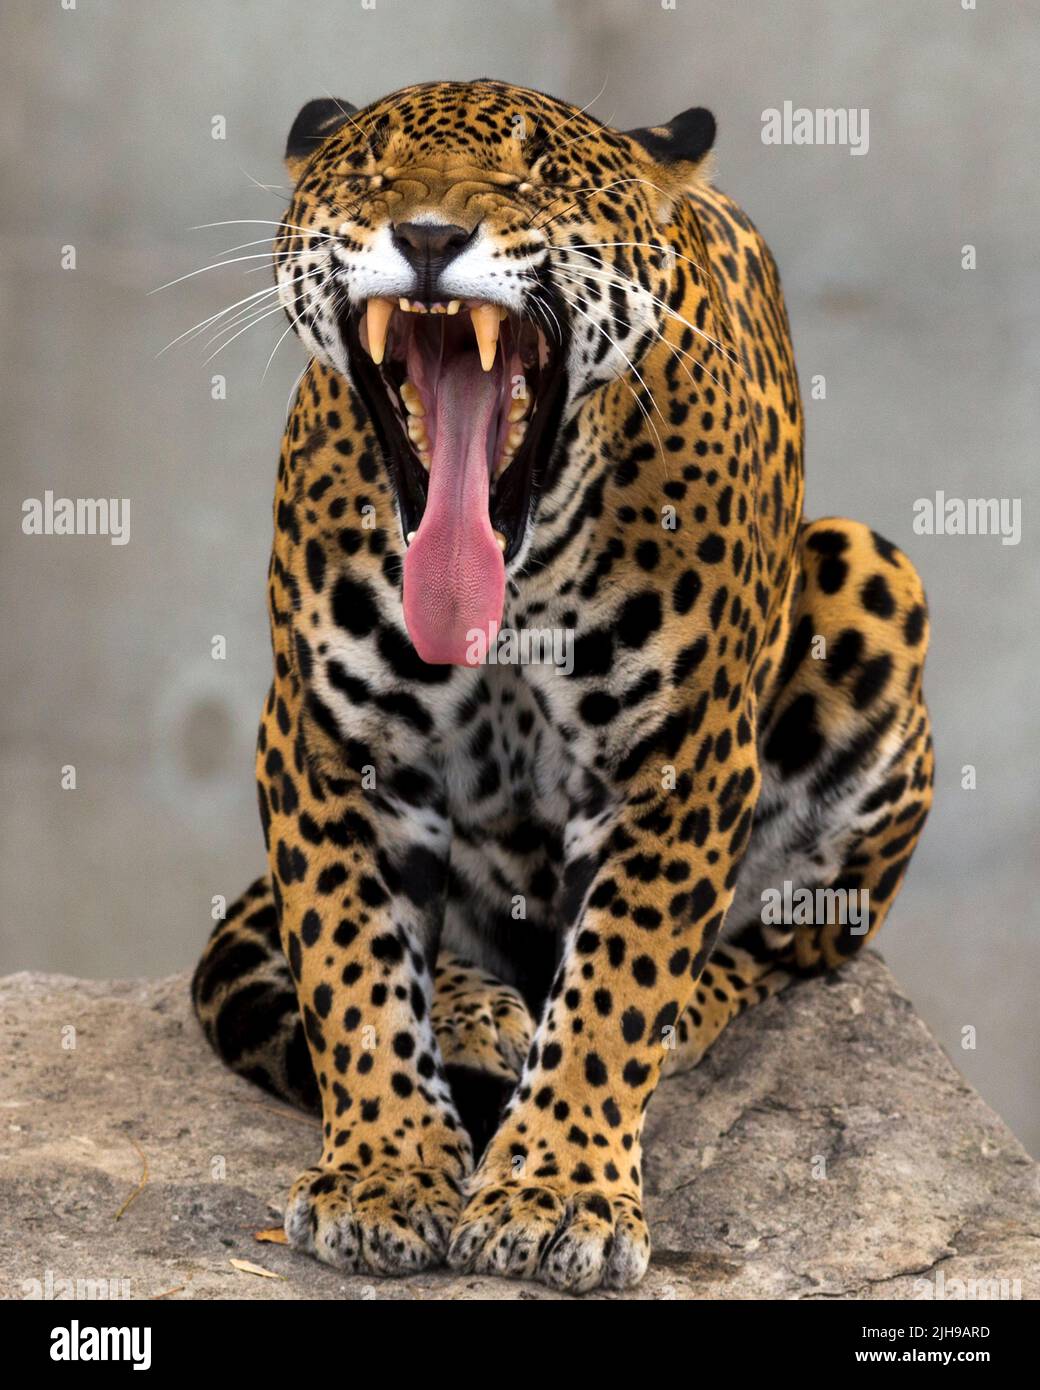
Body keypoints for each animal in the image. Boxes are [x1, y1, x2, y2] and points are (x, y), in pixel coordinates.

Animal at [191, 79, 933, 1293]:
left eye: (530, 178)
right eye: (370, 173)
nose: (427, 237)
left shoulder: (677, 762)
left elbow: (618, 982)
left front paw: (556, 1191)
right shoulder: (329, 744)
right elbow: (351, 969)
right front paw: (382, 1171)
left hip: (870, 574)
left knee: (789, 945)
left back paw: (677, 1010)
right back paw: (479, 1012)